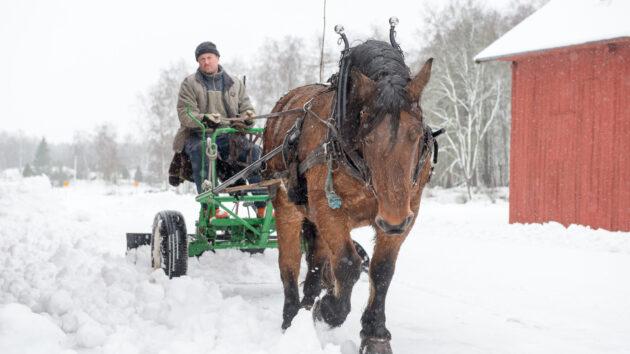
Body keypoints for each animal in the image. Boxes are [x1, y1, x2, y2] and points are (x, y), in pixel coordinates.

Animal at [262, 40, 434, 352]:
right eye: (368, 137)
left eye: (416, 134)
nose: (392, 221)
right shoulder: (329, 210)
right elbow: (347, 264)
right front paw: (328, 311)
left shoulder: (408, 211)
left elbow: (381, 269)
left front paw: (375, 333)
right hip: (286, 206)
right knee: (289, 262)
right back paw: (292, 318)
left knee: (316, 261)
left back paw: (308, 304)